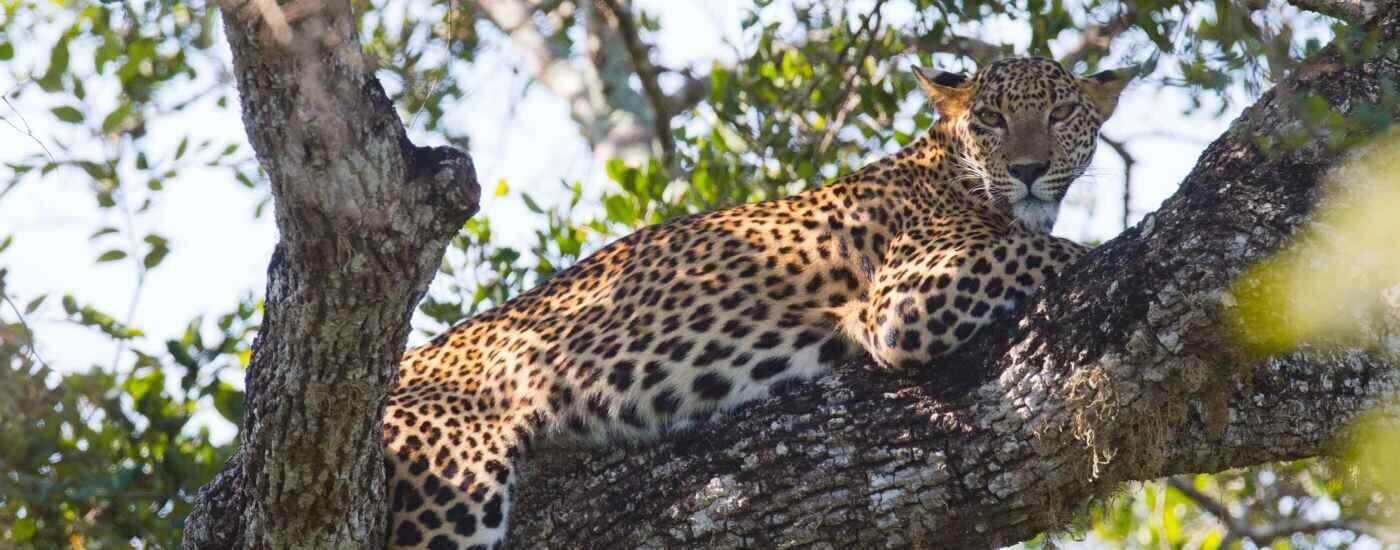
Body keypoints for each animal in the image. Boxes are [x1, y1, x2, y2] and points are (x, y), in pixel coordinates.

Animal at [383, 54, 1136, 543]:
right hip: (449, 473)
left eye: (1059, 113)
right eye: (991, 119)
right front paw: (1098, 248)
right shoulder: (902, 300)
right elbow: (1049, 250)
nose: (1030, 171)